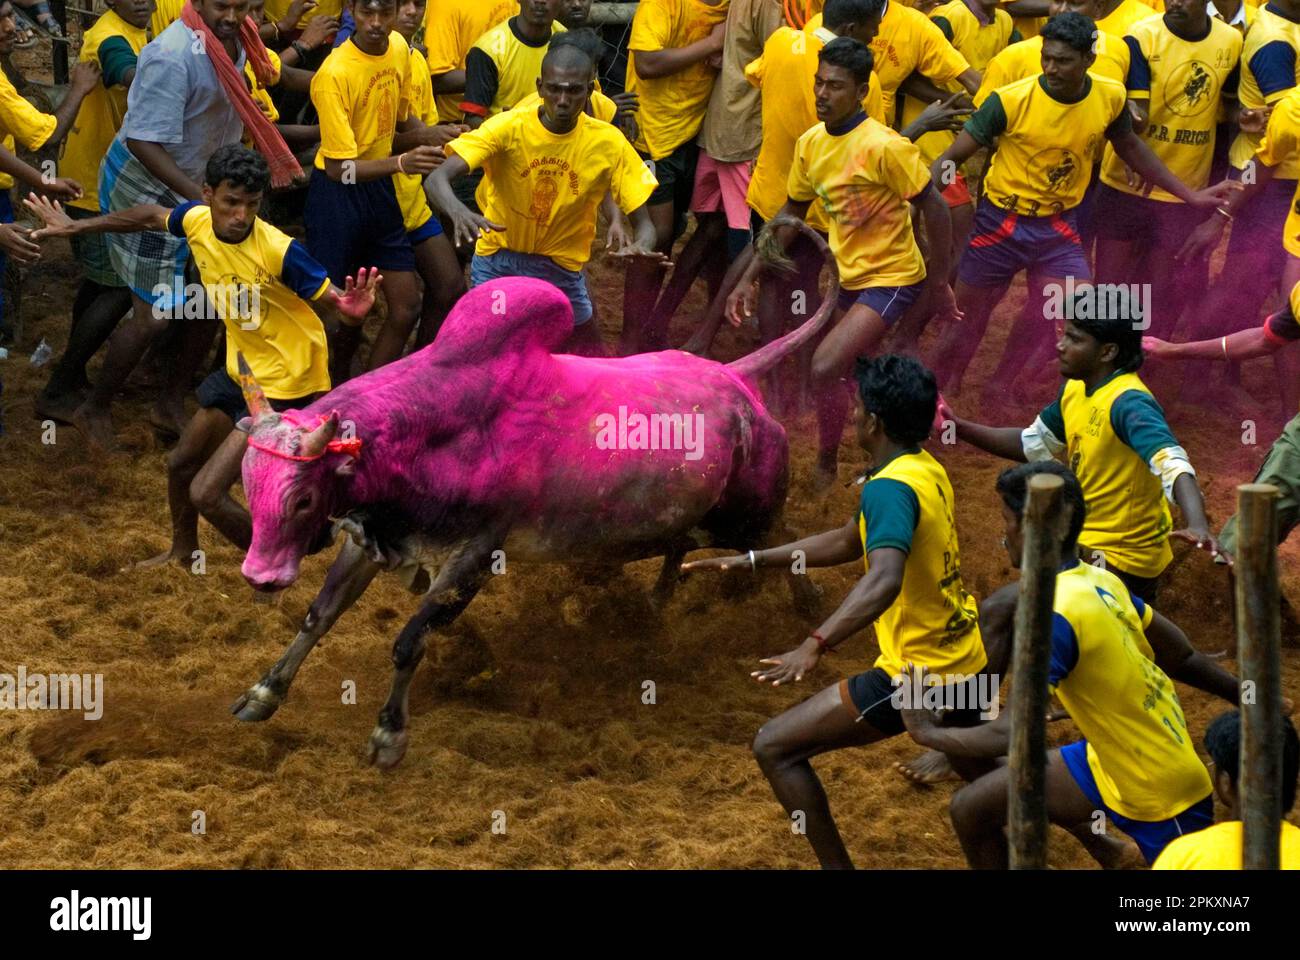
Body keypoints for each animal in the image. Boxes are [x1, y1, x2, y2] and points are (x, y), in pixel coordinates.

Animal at [233, 221, 837, 764]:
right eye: (249, 481)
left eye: (303, 499)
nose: (260, 576)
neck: (436, 427)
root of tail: (737, 379)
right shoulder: (370, 537)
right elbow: (319, 615)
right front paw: (262, 694)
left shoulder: (476, 556)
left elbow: (409, 642)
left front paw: (388, 735)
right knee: (682, 546)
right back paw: (655, 606)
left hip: (749, 513)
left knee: (781, 538)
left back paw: (805, 601)